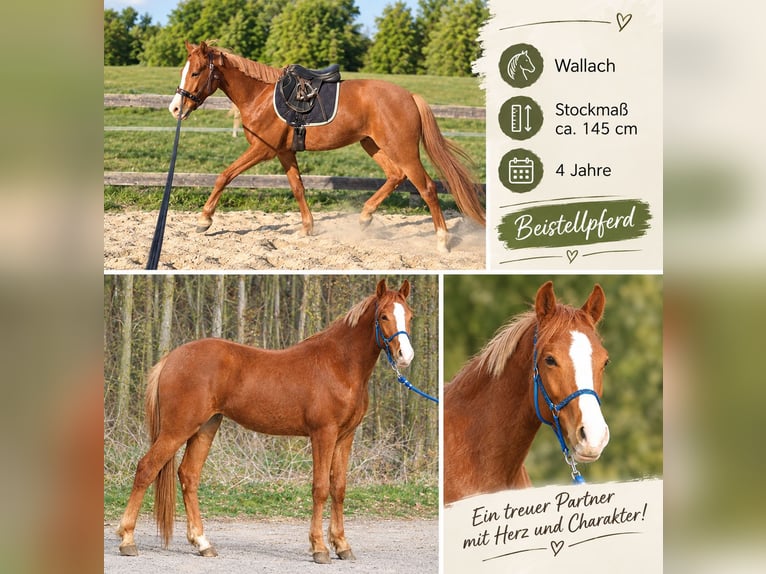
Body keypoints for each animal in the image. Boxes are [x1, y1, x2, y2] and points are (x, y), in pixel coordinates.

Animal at [116, 279, 415, 563]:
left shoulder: (345, 437)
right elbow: (320, 488)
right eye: (384, 316)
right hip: (177, 429)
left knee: (188, 476)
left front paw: (342, 546)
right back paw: (127, 540)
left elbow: (338, 488)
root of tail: (171, 358)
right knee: (146, 469)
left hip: (206, 427)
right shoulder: (324, 434)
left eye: (410, 315)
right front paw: (319, 548)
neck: (339, 365)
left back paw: (202, 543)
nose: (406, 356)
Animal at [167, 41, 485, 253]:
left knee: (426, 187)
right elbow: (298, 188)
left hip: (402, 150)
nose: (175, 108)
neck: (260, 96)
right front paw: (307, 228)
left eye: (195, 73)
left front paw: (204, 220)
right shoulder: (284, 153)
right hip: (374, 145)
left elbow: (224, 176)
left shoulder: (263, 150)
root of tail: (409, 96)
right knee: (396, 176)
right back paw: (365, 217)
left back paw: (442, 240)